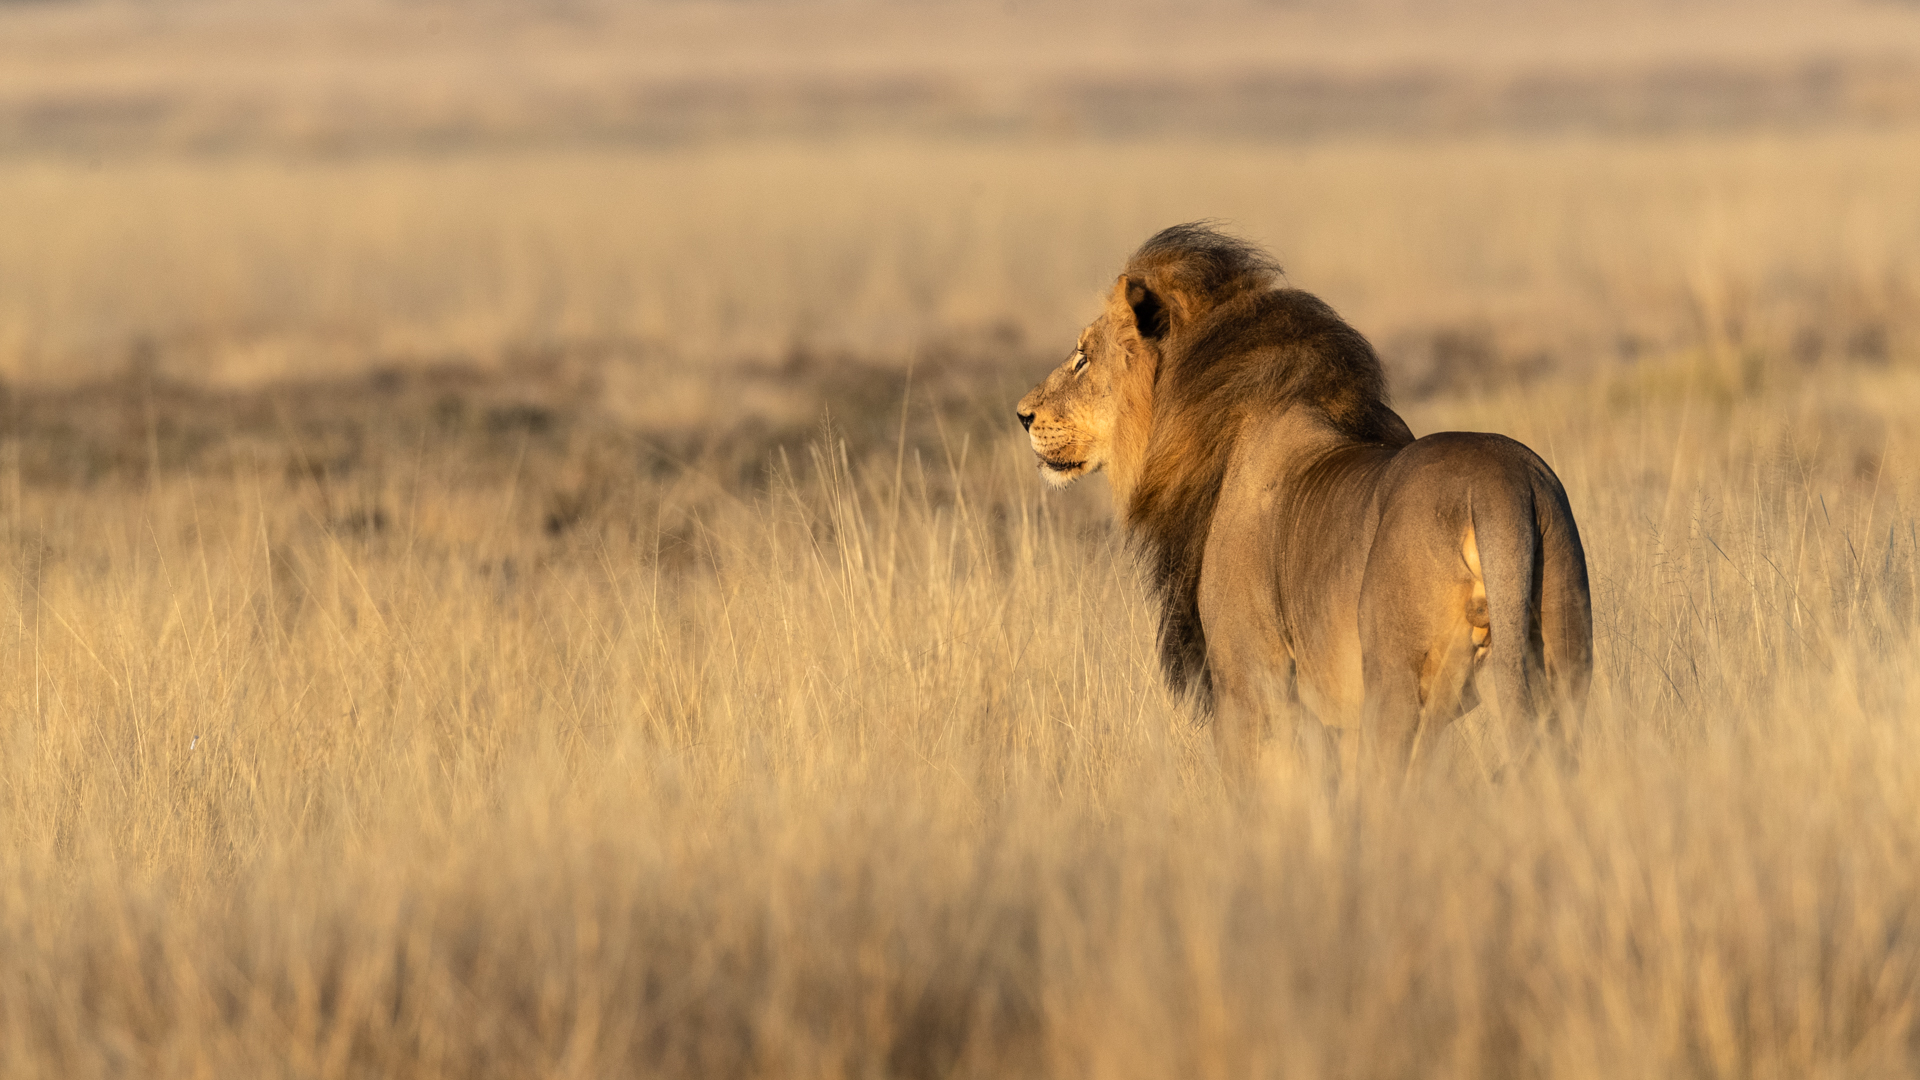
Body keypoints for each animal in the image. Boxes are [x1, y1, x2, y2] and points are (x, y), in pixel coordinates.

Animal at [1017, 223, 1592, 785]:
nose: (1023, 415)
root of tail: (1500, 489)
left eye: (1083, 357)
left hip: (1398, 685)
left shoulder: (1248, 682)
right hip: (1563, 662)